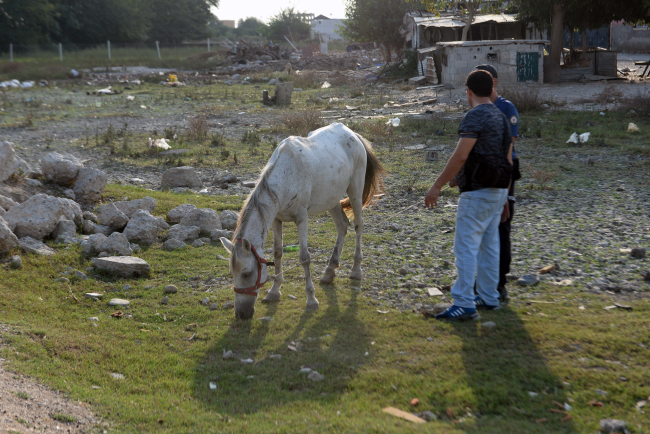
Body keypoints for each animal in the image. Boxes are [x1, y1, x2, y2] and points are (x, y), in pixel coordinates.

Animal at [220, 122, 384, 318]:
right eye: (232, 273)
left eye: (247, 273)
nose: (242, 314)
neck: (286, 175)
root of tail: (352, 133)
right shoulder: (276, 220)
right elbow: (277, 253)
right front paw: (274, 292)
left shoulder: (301, 218)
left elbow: (304, 258)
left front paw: (311, 300)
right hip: (331, 198)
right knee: (342, 225)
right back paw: (329, 271)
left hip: (355, 191)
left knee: (359, 225)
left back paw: (356, 270)